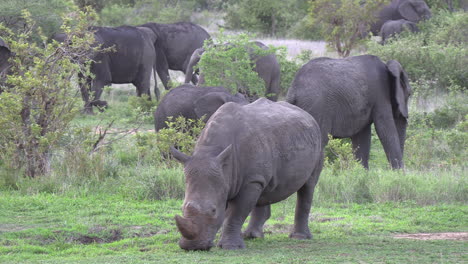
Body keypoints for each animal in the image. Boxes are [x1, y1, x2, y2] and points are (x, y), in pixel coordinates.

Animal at [170, 98, 324, 251]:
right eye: (182, 208)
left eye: (213, 210)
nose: (192, 247)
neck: (211, 152)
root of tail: (308, 115)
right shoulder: (230, 179)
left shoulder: (250, 180)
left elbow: (235, 213)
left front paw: (230, 247)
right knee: (264, 188)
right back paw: (252, 236)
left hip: (317, 139)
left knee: (308, 185)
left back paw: (299, 237)